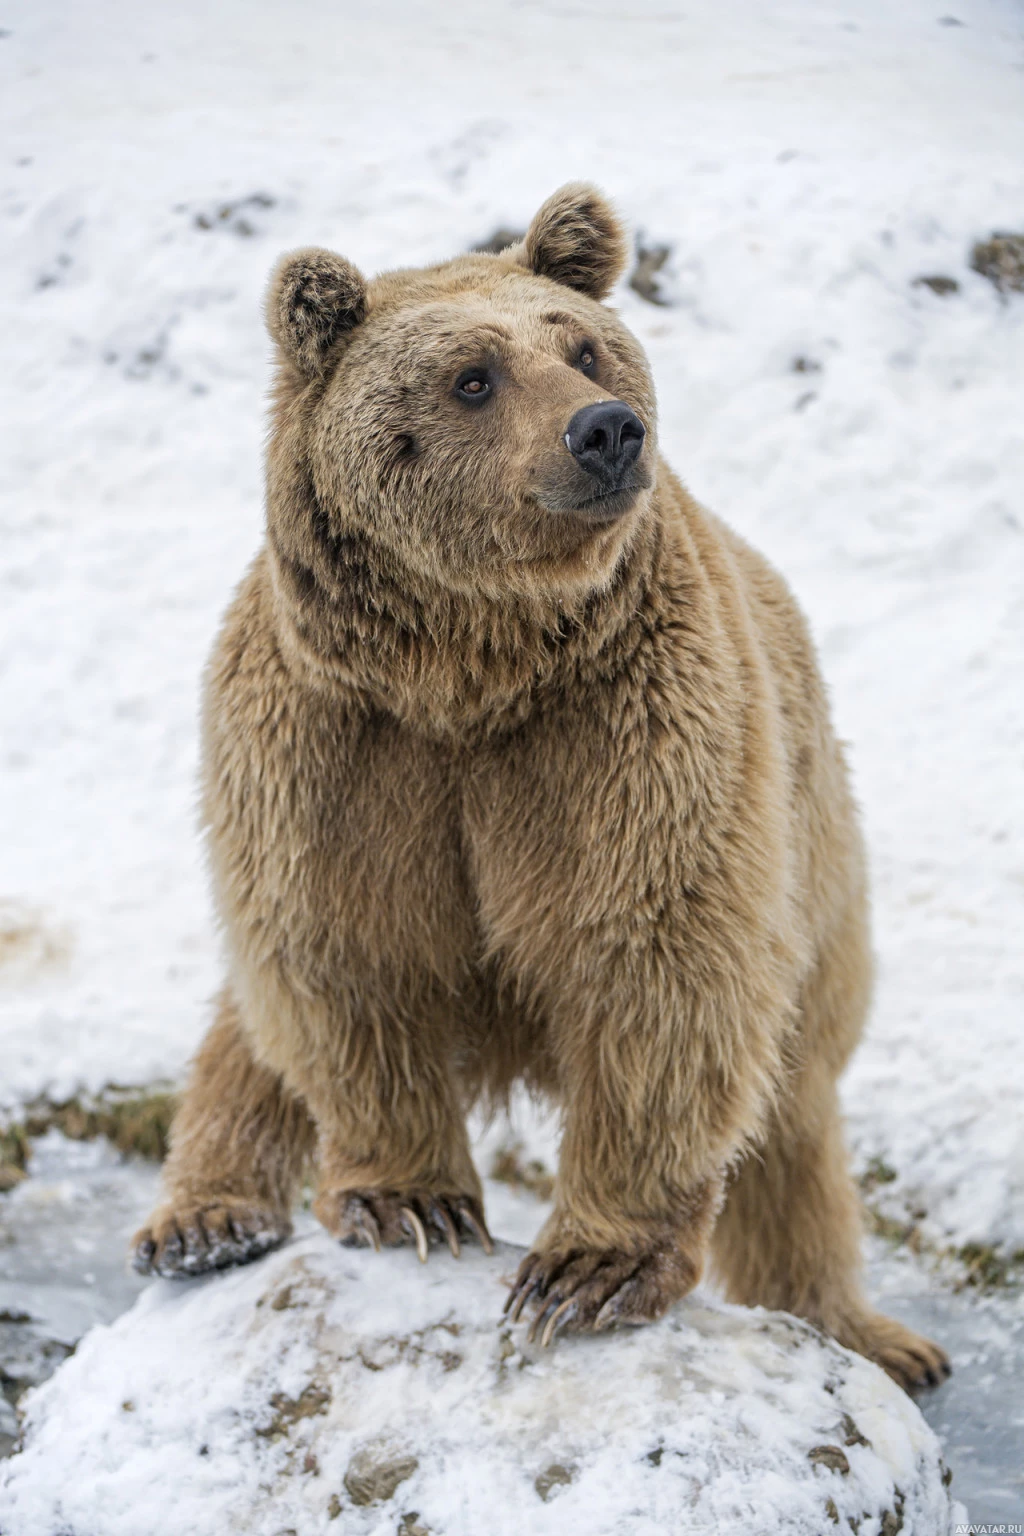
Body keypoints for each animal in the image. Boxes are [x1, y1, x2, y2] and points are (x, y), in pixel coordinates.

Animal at [132, 185, 951, 1400]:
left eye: (582, 346)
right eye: (472, 375)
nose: (606, 428)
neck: (467, 668)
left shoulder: (624, 730)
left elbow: (658, 961)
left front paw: (587, 1270)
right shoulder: (334, 743)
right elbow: (344, 949)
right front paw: (412, 1201)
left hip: (816, 854)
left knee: (792, 1103)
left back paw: (869, 1334)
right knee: (253, 1016)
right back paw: (201, 1218)